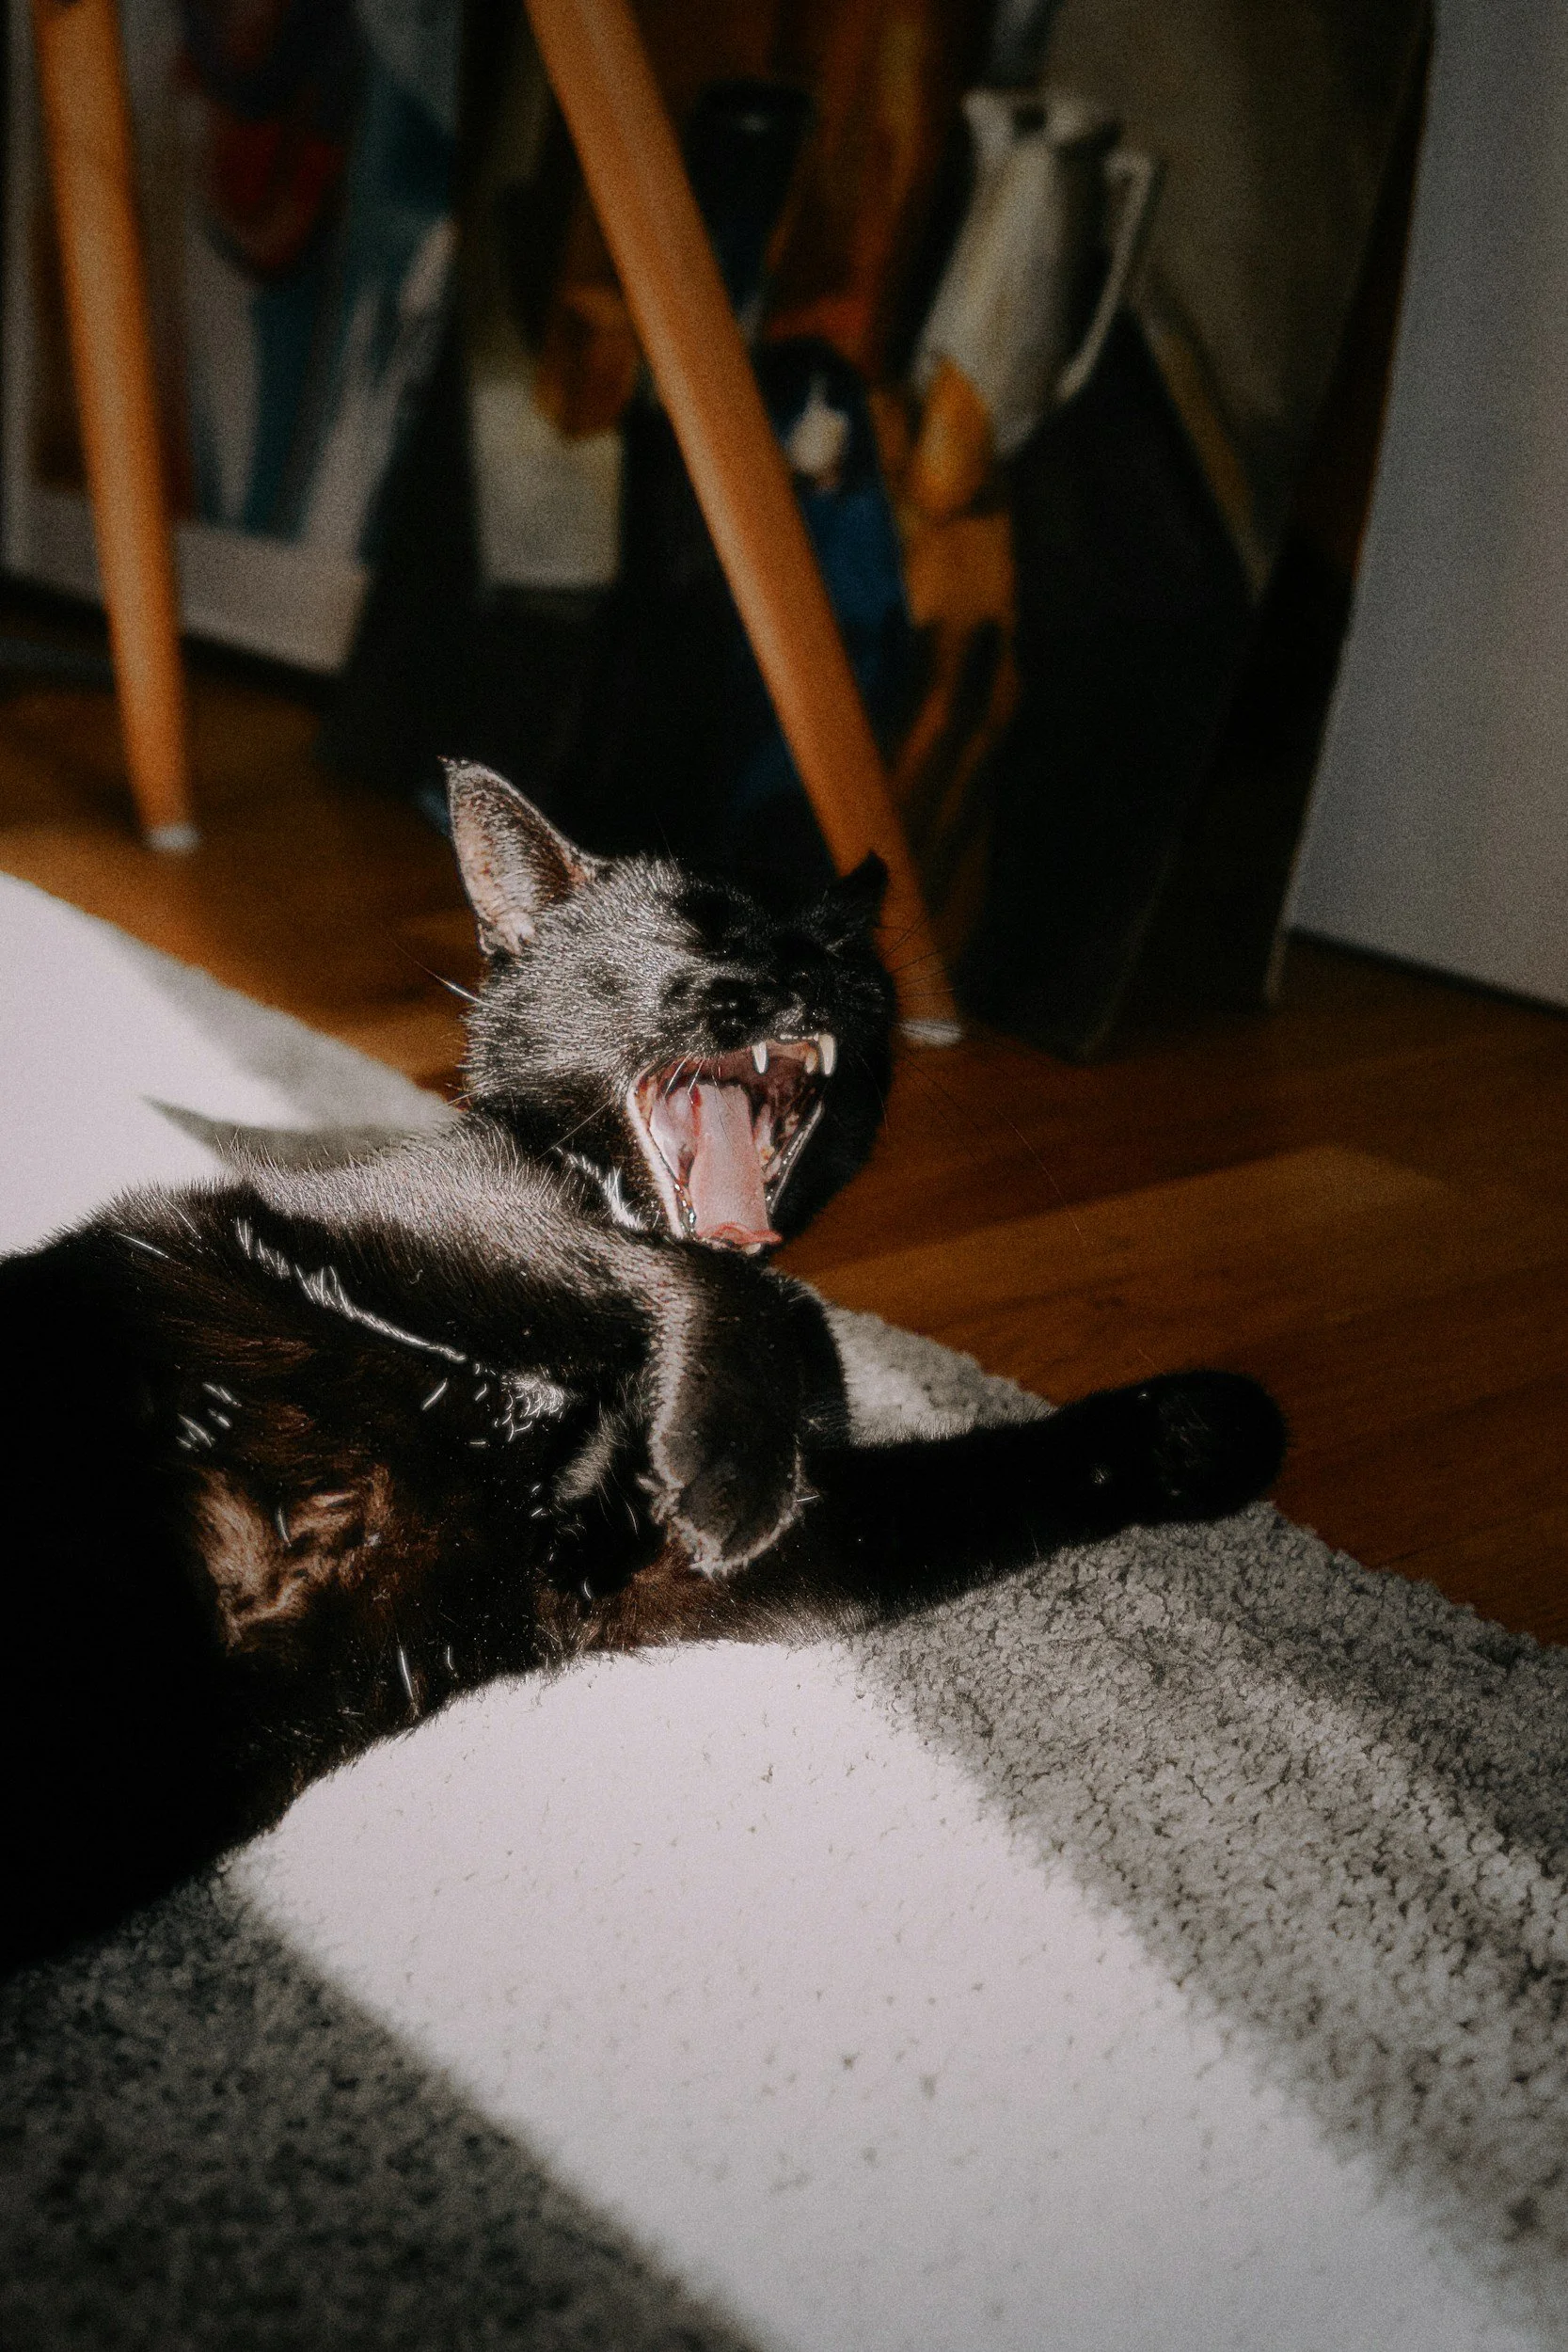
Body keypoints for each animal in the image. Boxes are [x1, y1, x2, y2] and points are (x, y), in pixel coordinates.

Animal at [0, 762, 1285, 1968]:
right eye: (698, 923)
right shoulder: (402, 1224)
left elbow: (987, 1476)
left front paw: (1204, 1428)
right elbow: (710, 1283)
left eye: (840, 950)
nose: (806, 969)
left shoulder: (702, 1570)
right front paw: (727, 1458)